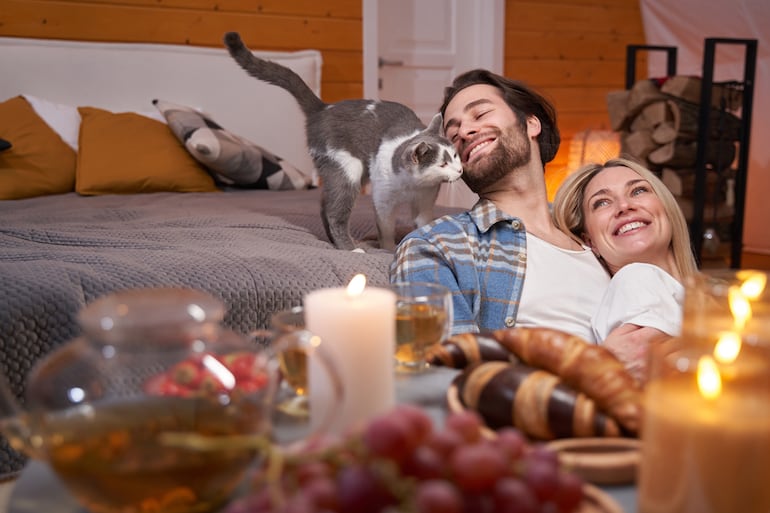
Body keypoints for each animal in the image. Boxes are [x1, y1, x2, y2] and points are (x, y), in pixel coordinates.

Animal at [222, 31, 462, 251]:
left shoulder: (425, 203)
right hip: (347, 168)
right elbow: (385, 228)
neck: (412, 186)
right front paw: (387, 249)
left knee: (325, 204)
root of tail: (323, 108)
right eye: (443, 164)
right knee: (334, 212)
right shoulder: (383, 199)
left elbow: (425, 224)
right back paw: (350, 247)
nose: (459, 170)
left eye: (455, 155)